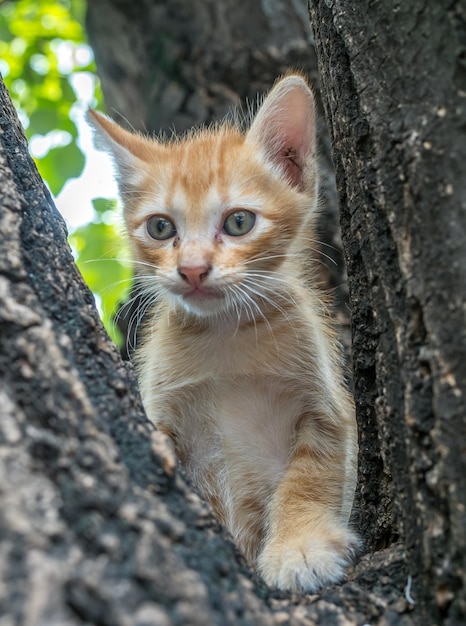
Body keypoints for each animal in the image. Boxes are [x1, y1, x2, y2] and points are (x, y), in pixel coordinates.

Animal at [90, 74, 360, 588]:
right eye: (160, 228)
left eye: (238, 221)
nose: (193, 269)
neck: (227, 338)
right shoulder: (163, 404)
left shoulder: (325, 409)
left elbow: (312, 476)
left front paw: (300, 545)